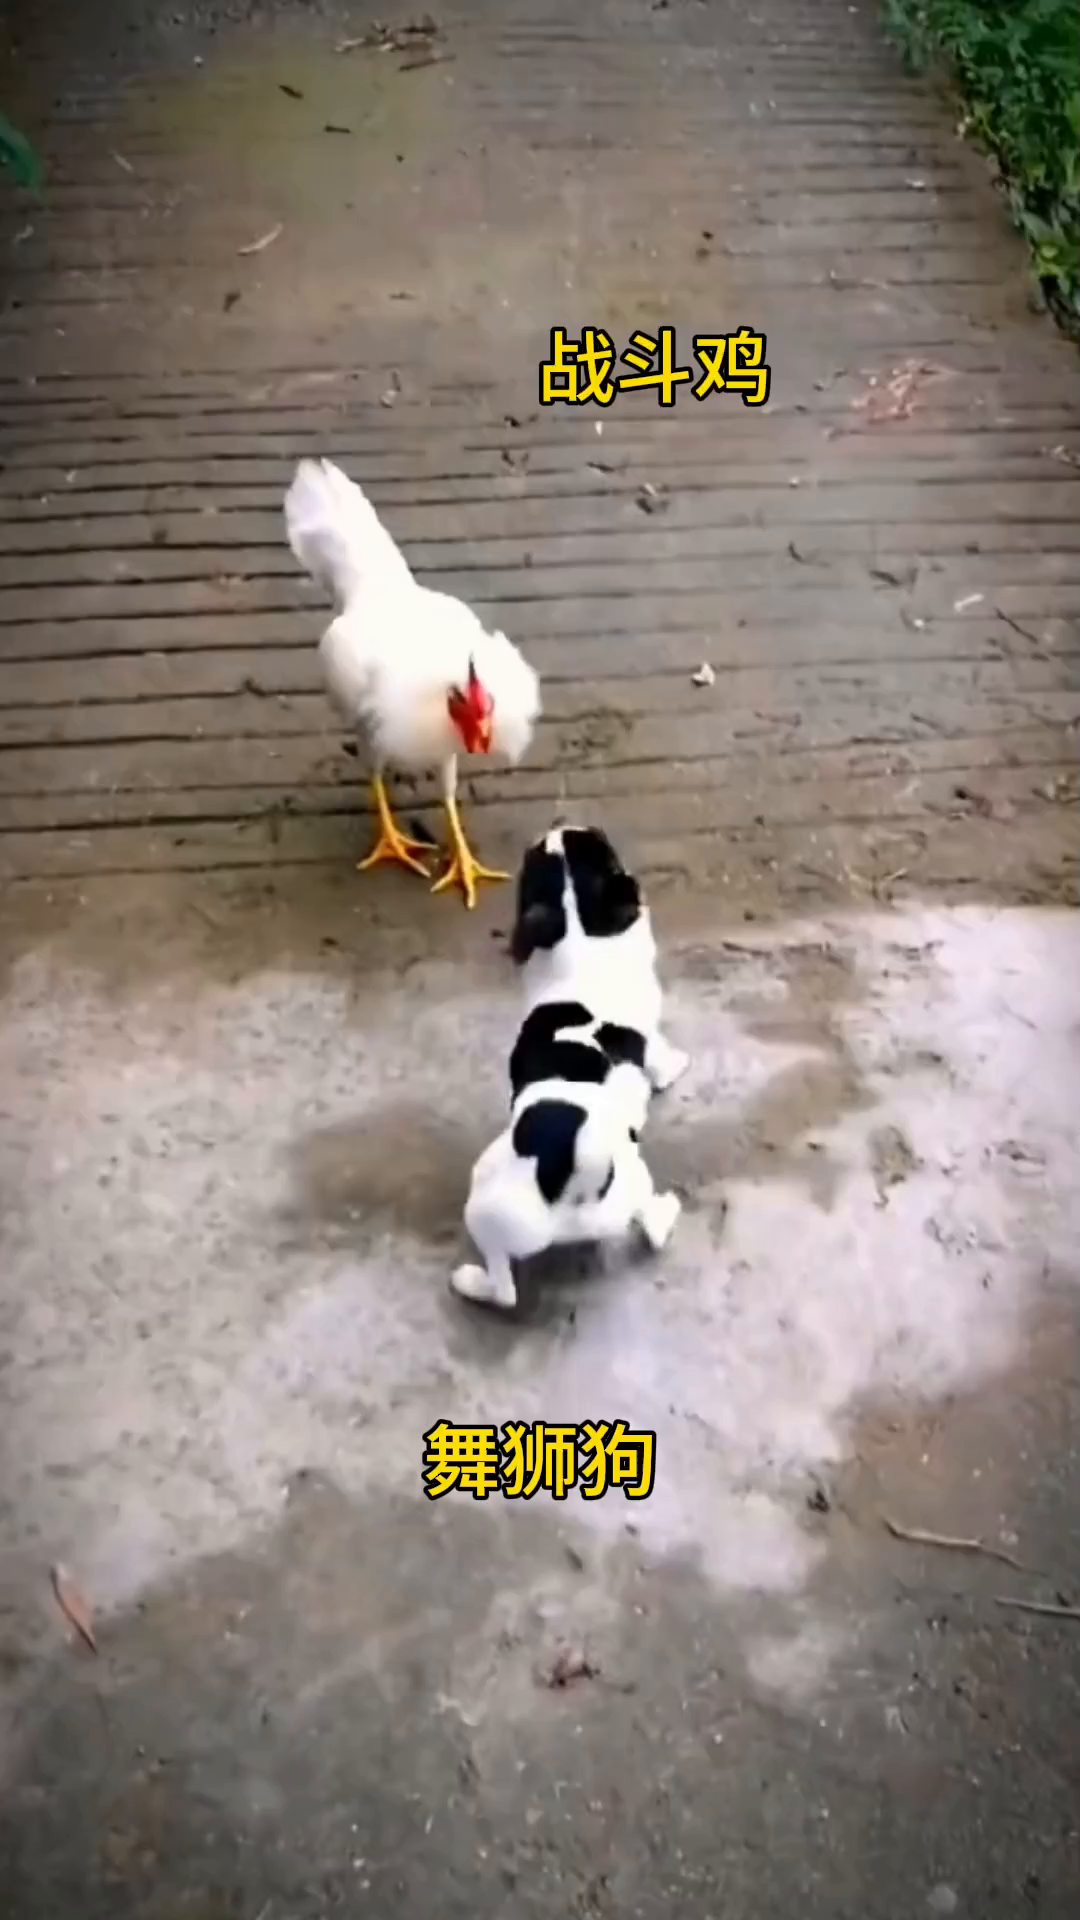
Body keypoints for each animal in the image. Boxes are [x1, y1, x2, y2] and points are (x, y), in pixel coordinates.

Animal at [451, 825, 688, 1311]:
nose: (561, 827)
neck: (580, 939)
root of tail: (572, 1187)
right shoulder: (651, 1029)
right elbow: (659, 1056)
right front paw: (674, 1066)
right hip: (490, 1201)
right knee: (505, 1292)